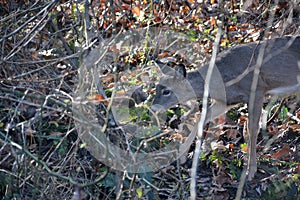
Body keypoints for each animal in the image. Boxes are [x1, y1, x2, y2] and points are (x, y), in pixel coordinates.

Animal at [151, 36, 300, 180]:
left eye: (166, 91)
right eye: (156, 88)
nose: (153, 108)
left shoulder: (257, 91)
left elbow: (252, 130)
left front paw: (250, 171)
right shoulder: (227, 102)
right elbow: (202, 117)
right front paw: (181, 155)